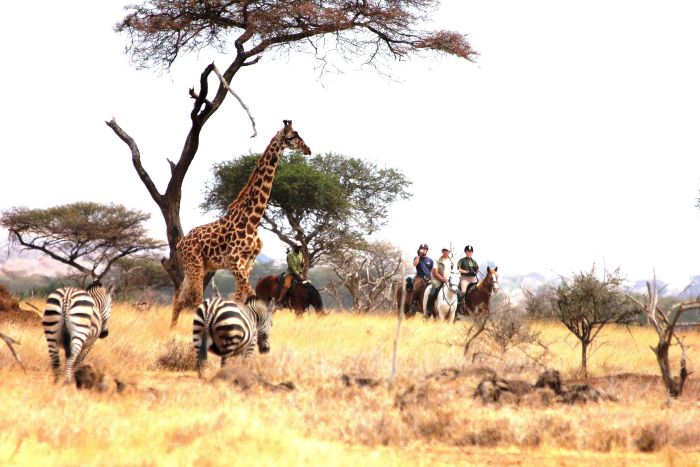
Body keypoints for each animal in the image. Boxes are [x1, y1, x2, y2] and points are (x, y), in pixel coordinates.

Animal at [171, 119, 310, 328]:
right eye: (292, 136)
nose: (308, 149)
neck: (252, 220)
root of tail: (181, 243)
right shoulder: (234, 262)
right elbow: (251, 297)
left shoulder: (247, 263)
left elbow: (239, 299)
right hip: (195, 266)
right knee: (195, 299)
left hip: (197, 267)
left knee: (179, 298)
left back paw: (171, 329)